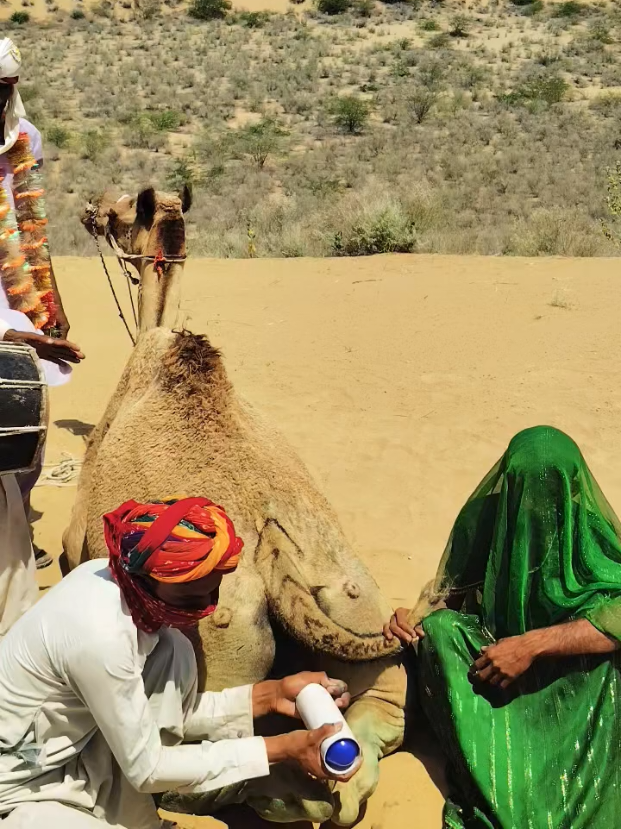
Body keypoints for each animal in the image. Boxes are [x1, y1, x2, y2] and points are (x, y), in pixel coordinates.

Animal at [65, 188, 408, 826]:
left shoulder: (73, 540)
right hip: (360, 608)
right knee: (371, 745)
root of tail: (276, 558)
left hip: (218, 643)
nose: (90, 211)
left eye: (121, 209)